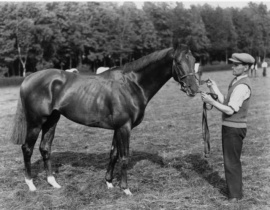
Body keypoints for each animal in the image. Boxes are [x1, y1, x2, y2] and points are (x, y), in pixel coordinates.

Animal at [10, 42, 199, 195]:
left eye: (194, 61)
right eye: (179, 62)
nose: (194, 89)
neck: (132, 84)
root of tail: (28, 78)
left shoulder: (118, 128)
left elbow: (113, 154)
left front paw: (109, 182)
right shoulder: (124, 127)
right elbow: (124, 157)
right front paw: (126, 189)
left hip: (51, 120)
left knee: (45, 148)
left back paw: (53, 182)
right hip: (36, 123)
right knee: (27, 148)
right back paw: (31, 184)